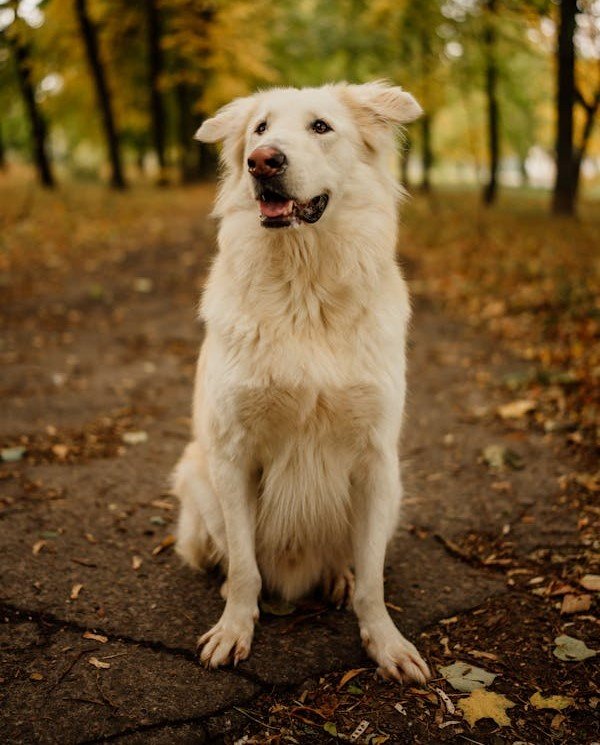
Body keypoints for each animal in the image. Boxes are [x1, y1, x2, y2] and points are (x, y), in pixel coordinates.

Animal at [173, 80, 432, 680]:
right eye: (260, 129)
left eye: (321, 126)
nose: (261, 161)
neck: (304, 286)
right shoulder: (234, 454)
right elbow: (246, 566)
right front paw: (234, 628)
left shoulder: (375, 461)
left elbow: (373, 579)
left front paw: (385, 643)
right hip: (196, 476)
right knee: (228, 554)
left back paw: (336, 578)